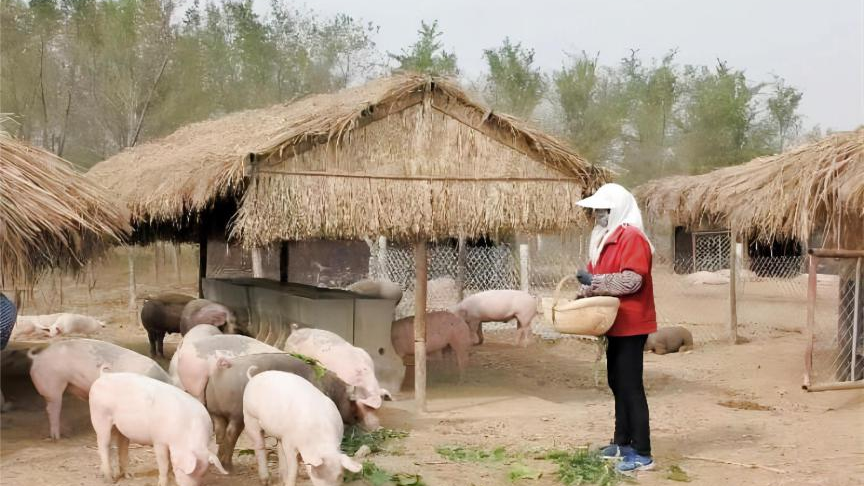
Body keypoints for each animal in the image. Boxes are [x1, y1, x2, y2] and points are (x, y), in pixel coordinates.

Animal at [89, 370, 228, 484]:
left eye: (202, 474)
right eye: (187, 471)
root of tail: (103, 376)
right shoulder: (159, 441)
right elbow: (163, 463)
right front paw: (162, 482)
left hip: (120, 429)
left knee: (121, 447)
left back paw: (129, 476)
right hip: (99, 416)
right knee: (103, 446)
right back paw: (109, 479)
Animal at [208, 354, 366, 470]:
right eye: (352, 402)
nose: (359, 419)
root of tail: (222, 367)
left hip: (217, 414)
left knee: (221, 435)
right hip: (237, 416)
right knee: (231, 435)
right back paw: (229, 467)